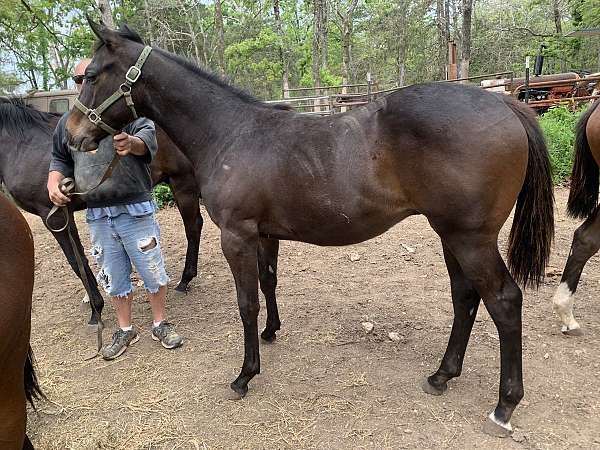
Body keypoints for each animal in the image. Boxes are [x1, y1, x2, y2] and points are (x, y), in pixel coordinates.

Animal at [64, 22, 552, 436]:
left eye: (92, 75)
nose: (71, 136)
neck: (230, 133)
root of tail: (505, 101)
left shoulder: (236, 235)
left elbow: (246, 303)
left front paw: (245, 375)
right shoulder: (264, 234)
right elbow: (268, 283)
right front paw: (271, 334)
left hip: (471, 238)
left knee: (504, 302)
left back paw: (504, 406)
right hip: (450, 234)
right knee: (465, 297)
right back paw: (442, 375)